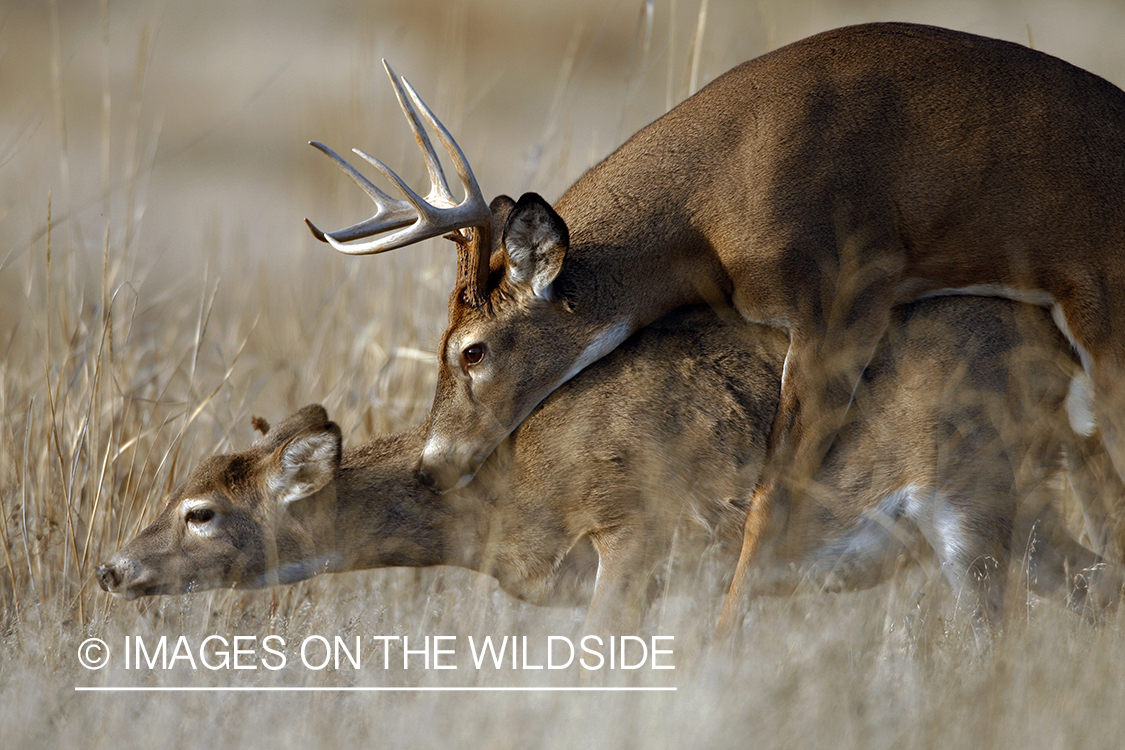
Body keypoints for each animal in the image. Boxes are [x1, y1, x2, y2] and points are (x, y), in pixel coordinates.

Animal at [101, 296, 1120, 638]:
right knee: (1095, 583)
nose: (110, 568)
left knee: (993, 638)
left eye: (199, 510)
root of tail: (1061, 353)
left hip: (969, 492)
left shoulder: (639, 528)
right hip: (1025, 510)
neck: (502, 494)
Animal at [306, 22, 1125, 634]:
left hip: (1103, 312)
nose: (433, 465)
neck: (708, 211)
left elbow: (771, 496)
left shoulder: (841, 300)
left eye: (471, 351)